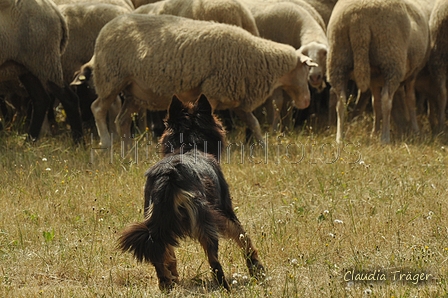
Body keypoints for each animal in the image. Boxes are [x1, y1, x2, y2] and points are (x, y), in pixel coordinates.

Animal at [0, 0, 83, 143]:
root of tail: (53, 8)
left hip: (45, 61)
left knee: (68, 98)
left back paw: (78, 141)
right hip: (28, 66)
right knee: (41, 99)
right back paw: (30, 141)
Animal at [84, 12, 316, 148]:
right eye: (306, 71)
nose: (306, 102)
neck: (257, 56)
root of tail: (105, 30)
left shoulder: (235, 98)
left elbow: (254, 123)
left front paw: (262, 145)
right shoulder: (213, 90)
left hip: (133, 91)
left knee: (121, 120)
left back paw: (128, 149)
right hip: (111, 78)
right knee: (98, 108)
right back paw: (106, 142)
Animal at [119, 93, 266, 292]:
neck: (188, 145)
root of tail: (170, 173)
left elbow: (170, 256)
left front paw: (173, 278)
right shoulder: (225, 211)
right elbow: (243, 238)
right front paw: (257, 269)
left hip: (156, 220)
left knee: (159, 252)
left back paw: (167, 284)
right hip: (206, 221)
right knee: (214, 262)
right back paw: (225, 288)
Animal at [326, 0, 430, 144]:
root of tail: (359, 21)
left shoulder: (374, 80)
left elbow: (375, 104)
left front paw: (374, 132)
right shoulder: (413, 74)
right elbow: (410, 100)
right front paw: (415, 130)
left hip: (338, 59)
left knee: (341, 101)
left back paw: (339, 138)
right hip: (391, 59)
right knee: (386, 100)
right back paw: (385, 138)